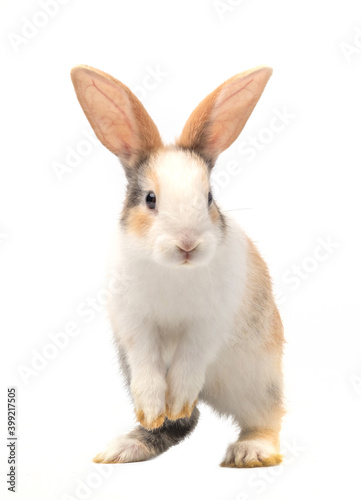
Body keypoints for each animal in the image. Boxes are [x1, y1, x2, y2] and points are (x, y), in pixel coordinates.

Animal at [70, 64, 284, 466]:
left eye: (210, 197)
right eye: (150, 199)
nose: (188, 244)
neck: (174, 270)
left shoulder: (207, 327)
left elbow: (189, 361)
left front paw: (177, 400)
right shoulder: (134, 328)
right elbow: (148, 368)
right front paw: (155, 410)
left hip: (259, 378)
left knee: (266, 417)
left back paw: (250, 452)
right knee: (181, 424)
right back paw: (128, 444)